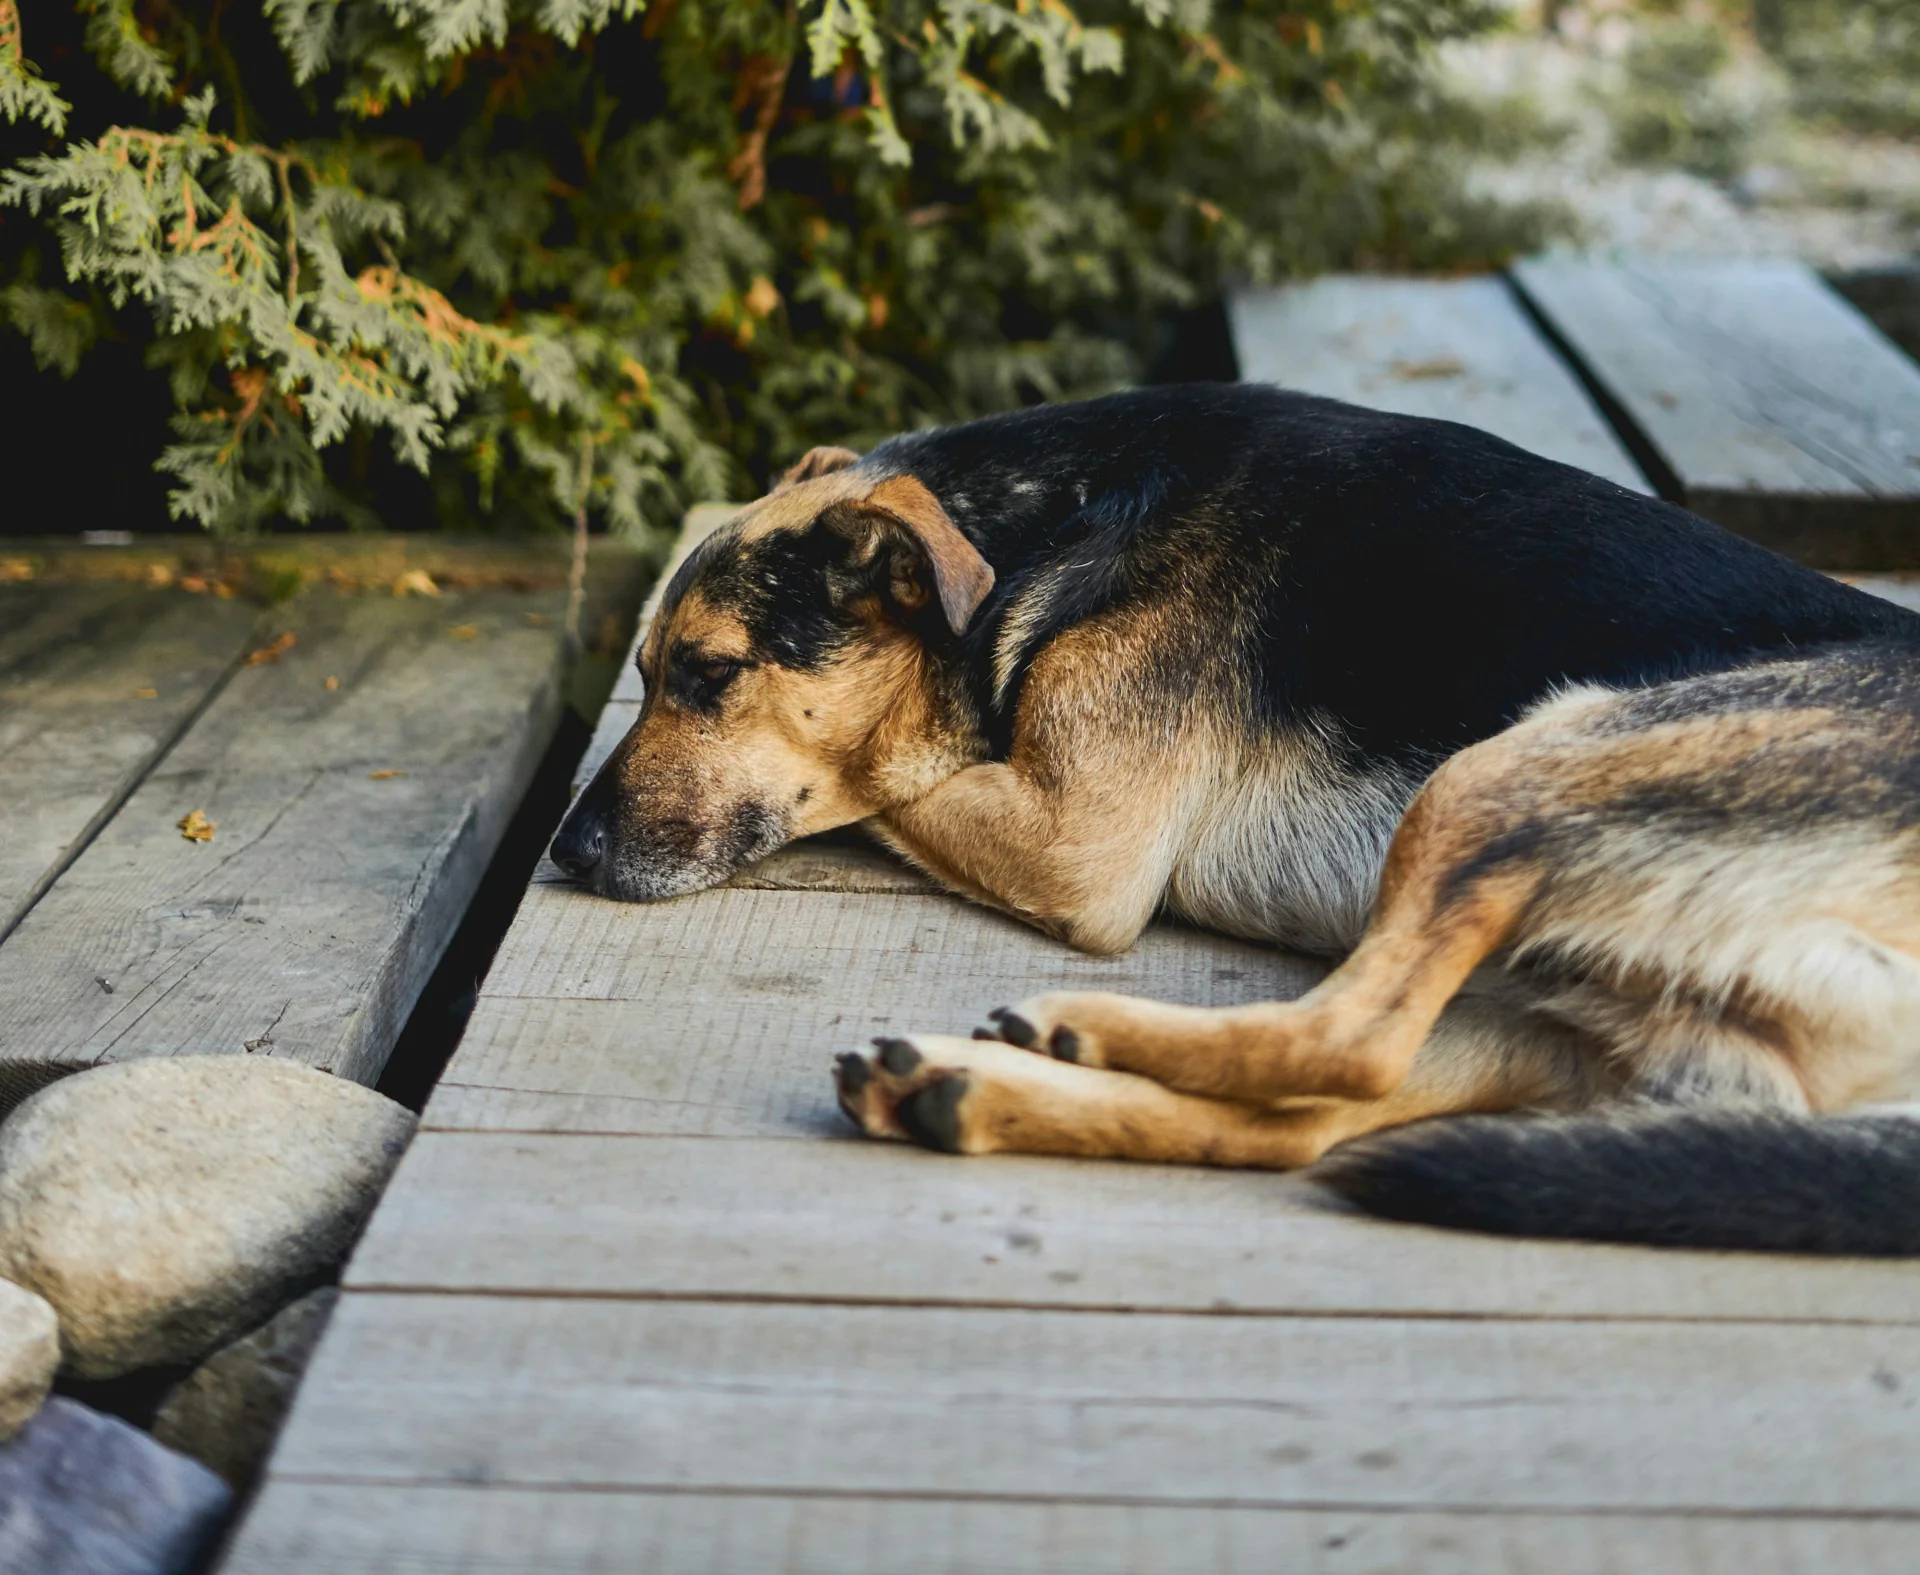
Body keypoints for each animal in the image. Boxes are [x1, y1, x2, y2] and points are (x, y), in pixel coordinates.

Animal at [545, 384, 1920, 1252]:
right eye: (646, 669)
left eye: (709, 674)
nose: (564, 852)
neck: (1061, 519)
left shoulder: (1077, 846)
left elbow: (886, 773)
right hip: (1553, 1002)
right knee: (1305, 1120)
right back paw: (968, 1089)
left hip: (1512, 771)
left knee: (1348, 1040)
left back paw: (1072, 1031)